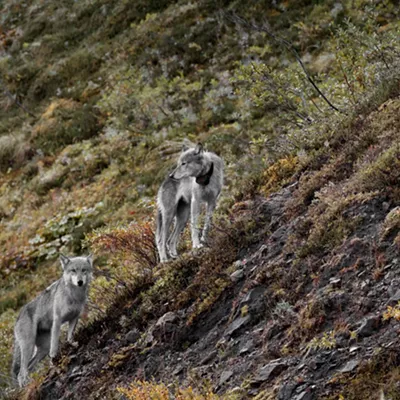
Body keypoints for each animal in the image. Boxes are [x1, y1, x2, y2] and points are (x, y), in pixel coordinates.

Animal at [11, 255, 93, 386]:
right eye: (73, 270)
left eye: (83, 270)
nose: (80, 282)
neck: (74, 295)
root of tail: (17, 318)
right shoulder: (57, 321)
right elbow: (54, 347)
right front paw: (54, 360)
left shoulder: (74, 318)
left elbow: (70, 337)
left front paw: (73, 344)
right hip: (29, 346)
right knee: (21, 373)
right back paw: (26, 386)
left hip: (42, 349)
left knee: (29, 367)